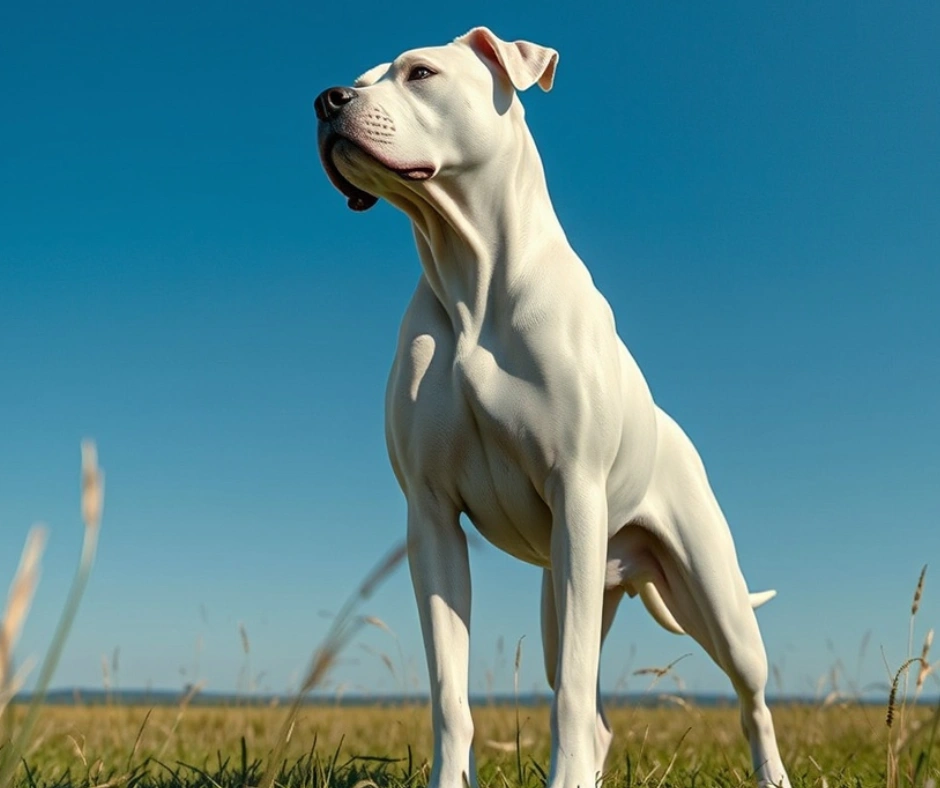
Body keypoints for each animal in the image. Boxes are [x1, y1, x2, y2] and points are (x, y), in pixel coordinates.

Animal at [318, 27, 792, 788]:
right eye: (357, 80)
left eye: (420, 73)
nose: (326, 100)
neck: (472, 276)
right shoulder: (432, 518)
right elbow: (450, 691)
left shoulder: (576, 494)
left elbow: (570, 690)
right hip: (569, 596)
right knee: (599, 715)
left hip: (714, 601)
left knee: (752, 700)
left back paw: (772, 773)